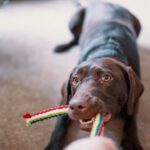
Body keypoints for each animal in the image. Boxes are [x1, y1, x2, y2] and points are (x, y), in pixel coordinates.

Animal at [45, 1, 144, 150]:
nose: (76, 106)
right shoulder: (66, 99)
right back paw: (61, 46)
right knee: (75, 39)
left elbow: (131, 119)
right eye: (75, 80)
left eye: (106, 77)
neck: (106, 50)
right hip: (74, 19)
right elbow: (59, 125)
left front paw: (132, 142)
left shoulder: (133, 99)